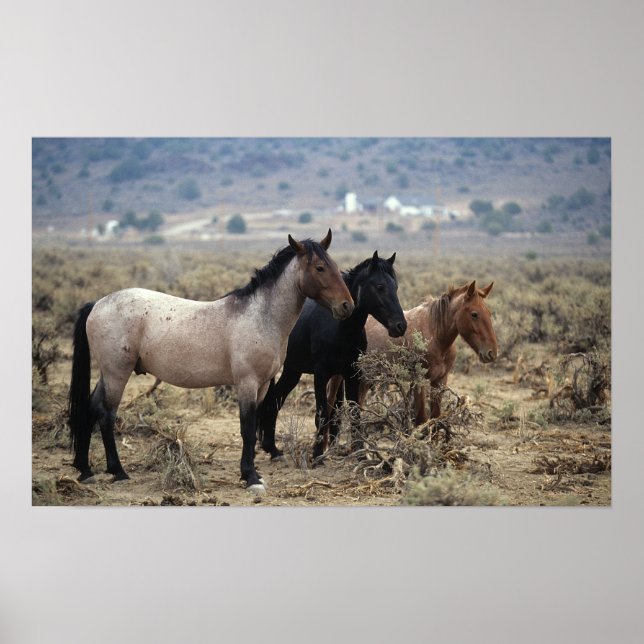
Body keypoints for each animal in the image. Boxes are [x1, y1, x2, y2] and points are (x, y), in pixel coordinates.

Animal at [67, 230, 354, 493]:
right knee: (106, 415)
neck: (260, 316)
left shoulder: (262, 386)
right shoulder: (247, 383)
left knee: (91, 408)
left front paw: (254, 473)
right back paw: (118, 472)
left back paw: (85, 470)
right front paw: (250, 477)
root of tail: (97, 304)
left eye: (334, 266)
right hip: (117, 373)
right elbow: (247, 428)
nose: (347, 306)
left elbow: (254, 426)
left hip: (108, 374)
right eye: (319, 268)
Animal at [257, 251, 407, 461]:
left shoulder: (352, 374)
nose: (400, 326)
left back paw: (273, 449)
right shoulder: (321, 374)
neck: (339, 328)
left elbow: (354, 412)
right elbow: (322, 413)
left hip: (293, 371)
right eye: (380, 286)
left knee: (275, 401)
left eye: (396, 286)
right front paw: (317, 454)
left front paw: (360, 453)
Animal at [327, 280, 497, 425]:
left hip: (365, 378)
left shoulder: (440, 381)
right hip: (339, 377)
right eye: (474, 314)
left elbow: (436, 418)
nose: (492, 353)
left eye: (489, 313)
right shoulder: (419, 380)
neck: (435, 335)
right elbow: (422, 419)